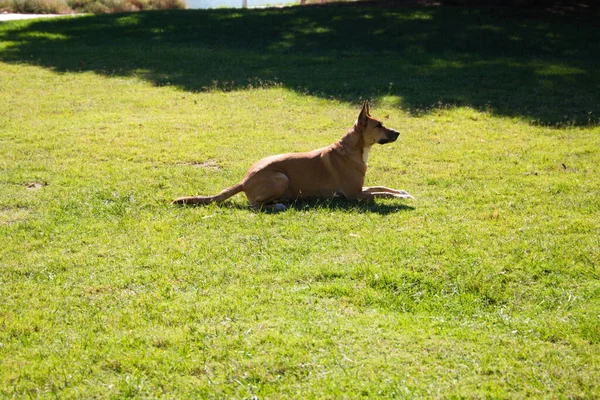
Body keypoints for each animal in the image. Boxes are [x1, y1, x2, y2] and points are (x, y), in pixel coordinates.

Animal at [173, 101, 412, 211]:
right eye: (379, 125)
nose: (398, 133)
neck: (353, 149)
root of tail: (244, 180)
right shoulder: (354, 195)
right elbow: (381, 194)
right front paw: (401, 198)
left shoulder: (360, 188)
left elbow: (382, 187)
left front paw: (402, 192)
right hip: (280, 177)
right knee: (254, 205)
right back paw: (278, 205)